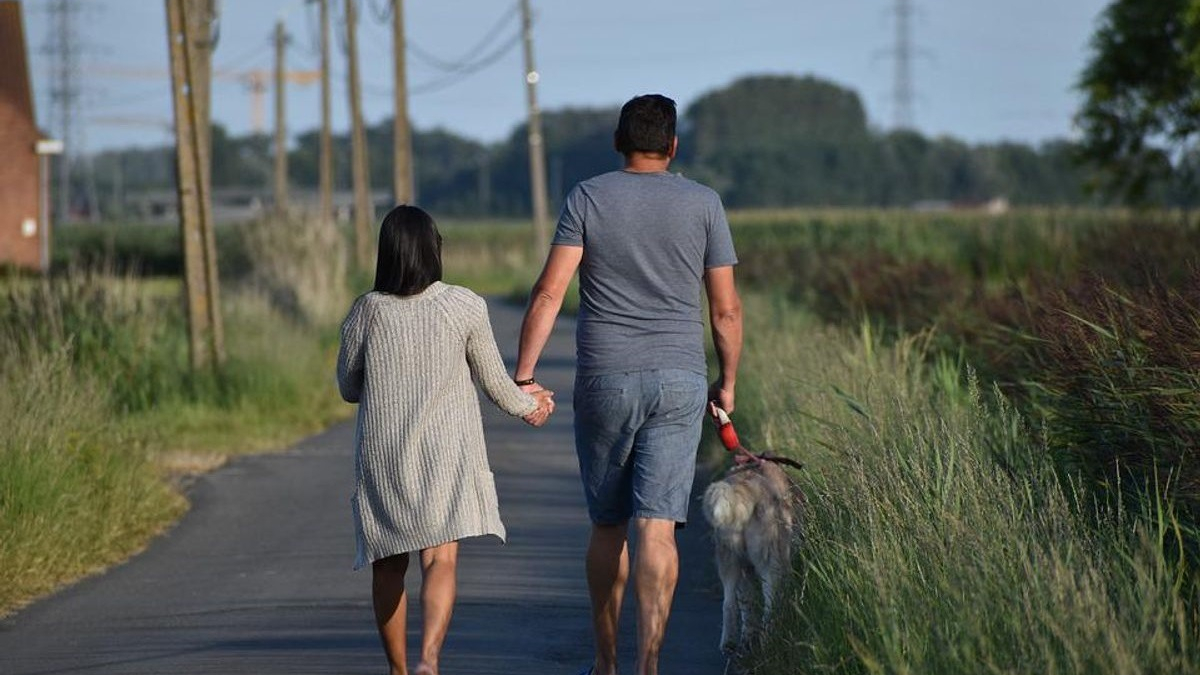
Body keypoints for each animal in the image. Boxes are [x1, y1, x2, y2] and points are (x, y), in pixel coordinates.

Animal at [700, 454, 806, 648]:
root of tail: (745, 490)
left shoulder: (745, 569)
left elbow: (746, 601)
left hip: (730, 559)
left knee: (729, 603)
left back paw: (730, 642)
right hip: (771, 560)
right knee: (770, 602)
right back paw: (770, 635)